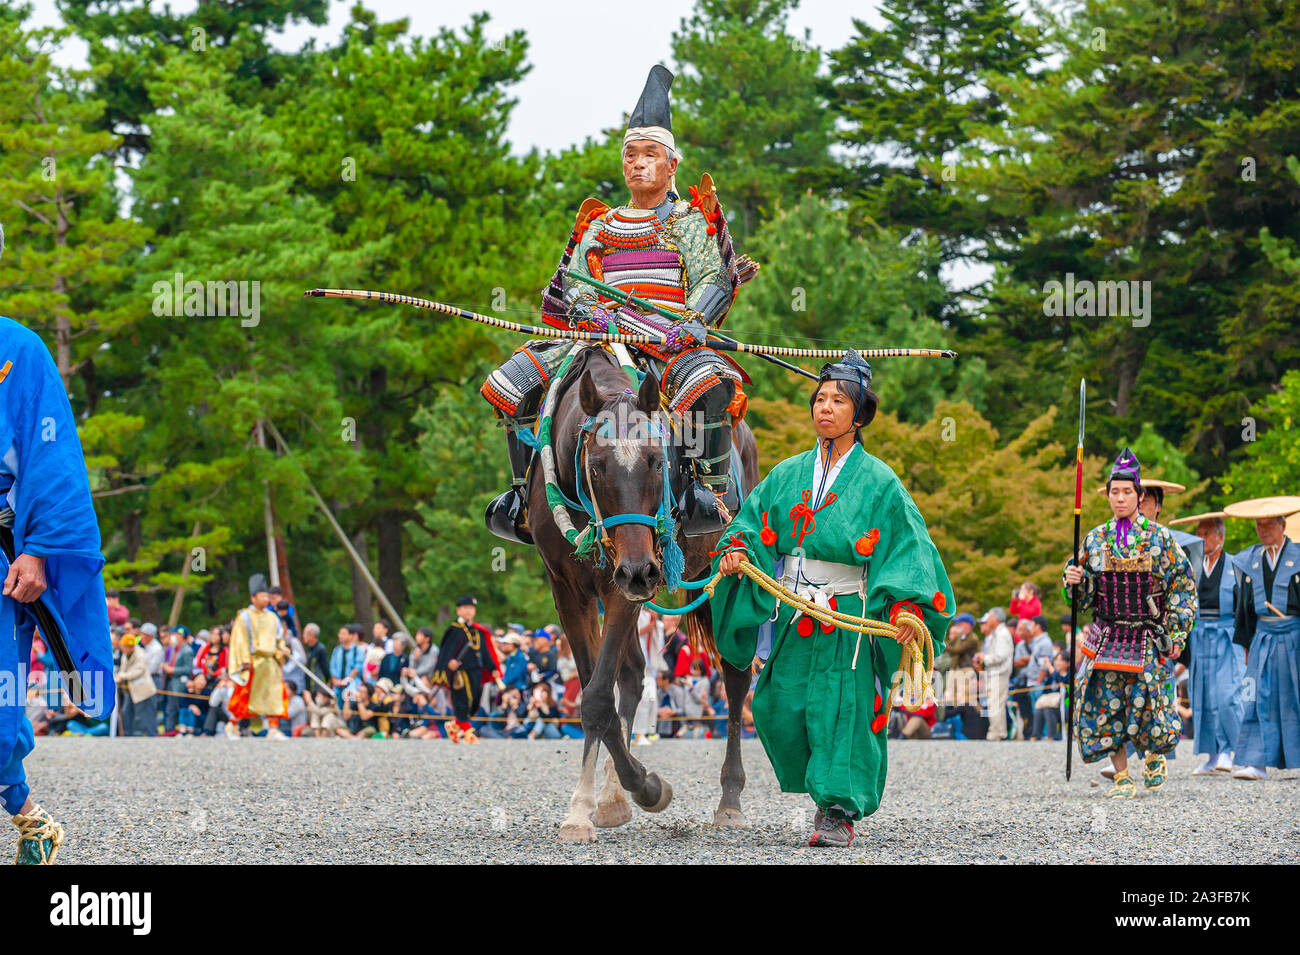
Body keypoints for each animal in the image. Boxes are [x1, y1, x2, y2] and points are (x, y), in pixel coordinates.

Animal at [525, 345, 759, 841]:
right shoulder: (568, 587)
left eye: (656, 461)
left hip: (724, 570)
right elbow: (598, 691)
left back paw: (729, 799)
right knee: (632, 674)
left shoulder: (620, 588)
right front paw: (594, 801)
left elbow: (597, 696)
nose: (639, 571)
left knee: (734, 678)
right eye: (596, 466)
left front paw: (642, 787)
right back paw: (613, 795)